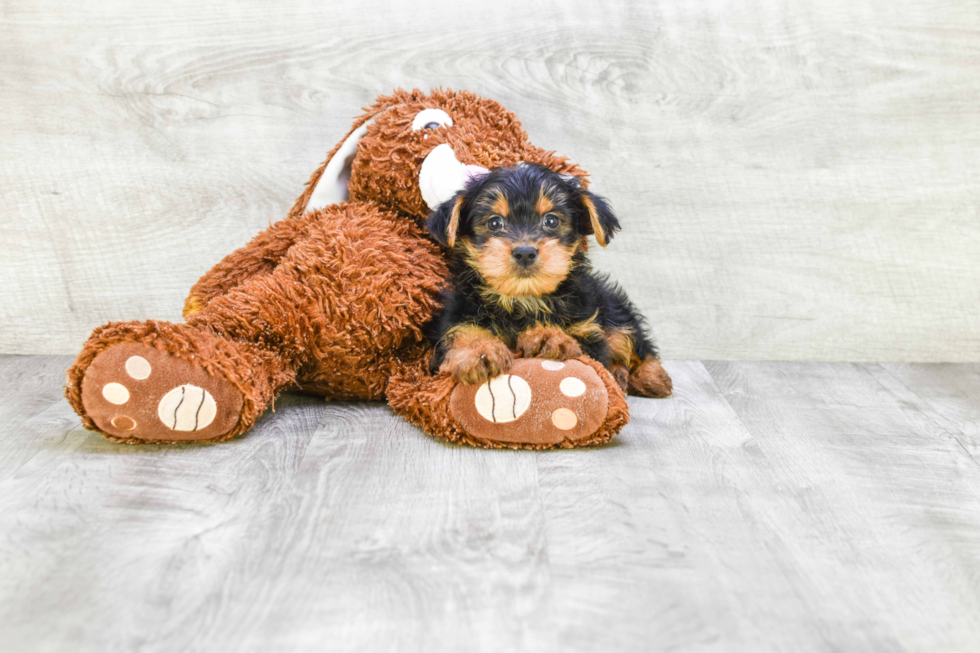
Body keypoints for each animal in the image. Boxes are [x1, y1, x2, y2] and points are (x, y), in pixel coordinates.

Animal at [428, 163, 672, 398]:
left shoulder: (591, 336)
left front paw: (548, 335)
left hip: (613, 304)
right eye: (494, 223)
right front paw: (477, 351)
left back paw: (651, 377)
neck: (523, 299)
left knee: (635, 341)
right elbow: (461, 333)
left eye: (551, 220)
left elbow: (585, 345)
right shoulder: (456, 318)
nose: (525, 252)